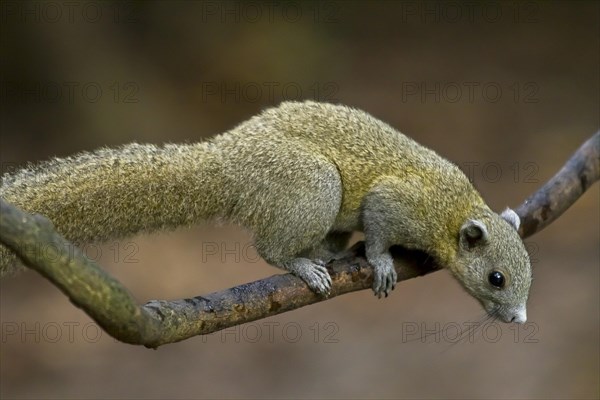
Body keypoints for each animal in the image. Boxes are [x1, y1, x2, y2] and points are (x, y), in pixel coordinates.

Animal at [1, 101, 536, 324]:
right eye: (496, 279)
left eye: (529, 276)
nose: (519, 320)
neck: (453, 210)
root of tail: (226, 163)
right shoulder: (399, 202)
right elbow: (380, 228)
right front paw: (382, 264)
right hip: (313, 185)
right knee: (269, 247)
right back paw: (305, 265)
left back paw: (326, 254)